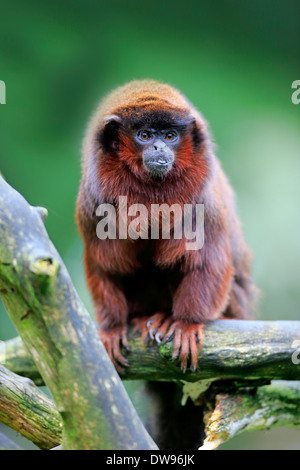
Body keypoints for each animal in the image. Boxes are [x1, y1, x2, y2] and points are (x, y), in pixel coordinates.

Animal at [75, 81, 255, 374]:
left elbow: (208, 261)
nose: (159, 148)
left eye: (170, 136)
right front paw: (113, 327)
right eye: (145, 135)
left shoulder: (203, 201)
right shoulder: (93, 204)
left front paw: (186, 323)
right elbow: (104, 265)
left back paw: (166, 318)